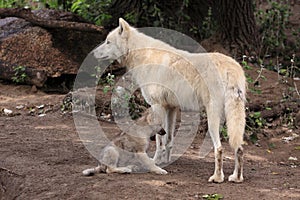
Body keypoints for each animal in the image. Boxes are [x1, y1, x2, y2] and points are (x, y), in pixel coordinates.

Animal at [93, 18, 246, 183]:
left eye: (108, 42)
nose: (93, 53)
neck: (144, 56)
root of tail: (231, 68)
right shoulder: (171, 108)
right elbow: (169, 140)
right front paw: (166, 161)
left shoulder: (157, 106)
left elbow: (159, 141)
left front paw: (154, 163)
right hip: (232, 120)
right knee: (239, 148)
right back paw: (236, 178)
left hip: (212, 120)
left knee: (219, 149)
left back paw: (217, 178)